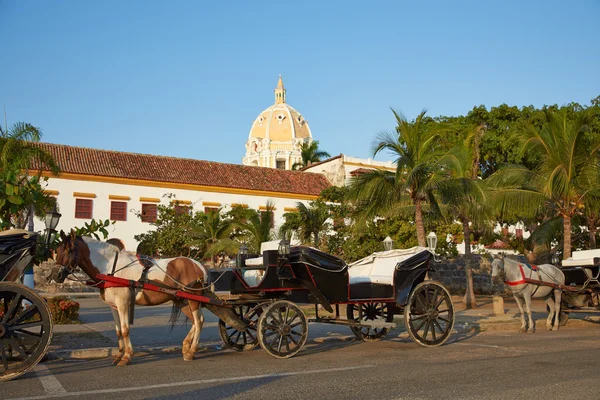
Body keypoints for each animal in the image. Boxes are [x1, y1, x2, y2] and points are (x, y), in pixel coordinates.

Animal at [53, 231, 220, 366]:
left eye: (69, 250)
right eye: (57, 251)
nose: (55, 275)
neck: (110, 268)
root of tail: (199, 265)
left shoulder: (123, 304)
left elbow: (125, 330)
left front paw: (127, 357)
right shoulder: (113, 306)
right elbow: (118, 331)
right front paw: (118, 355)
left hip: (194, 299)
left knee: (199, 321)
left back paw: (191, 351)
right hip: (182, 300)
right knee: (194, 321)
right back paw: (186, 347)